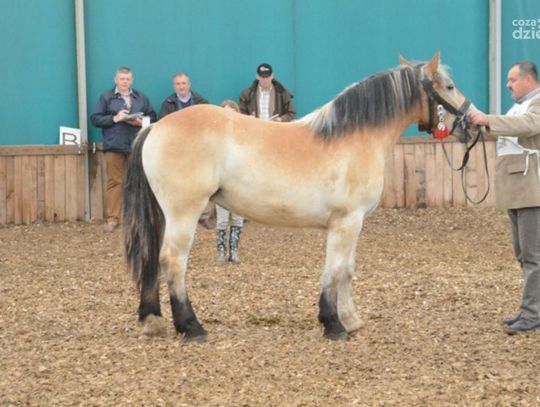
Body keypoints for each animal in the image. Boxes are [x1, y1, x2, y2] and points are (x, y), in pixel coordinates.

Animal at [123, 52, 470, 341]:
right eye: (450, 86)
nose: (472, 120)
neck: (354, 138)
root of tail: (155, 128)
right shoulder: (347, 222)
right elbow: (335, 270)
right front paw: (333, 324)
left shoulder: (352, 224)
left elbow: (346, 269)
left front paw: (351, 320)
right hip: (184, 212)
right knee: (173, 261)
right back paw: (191, 327)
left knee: (153, 258)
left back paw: (152, 320)